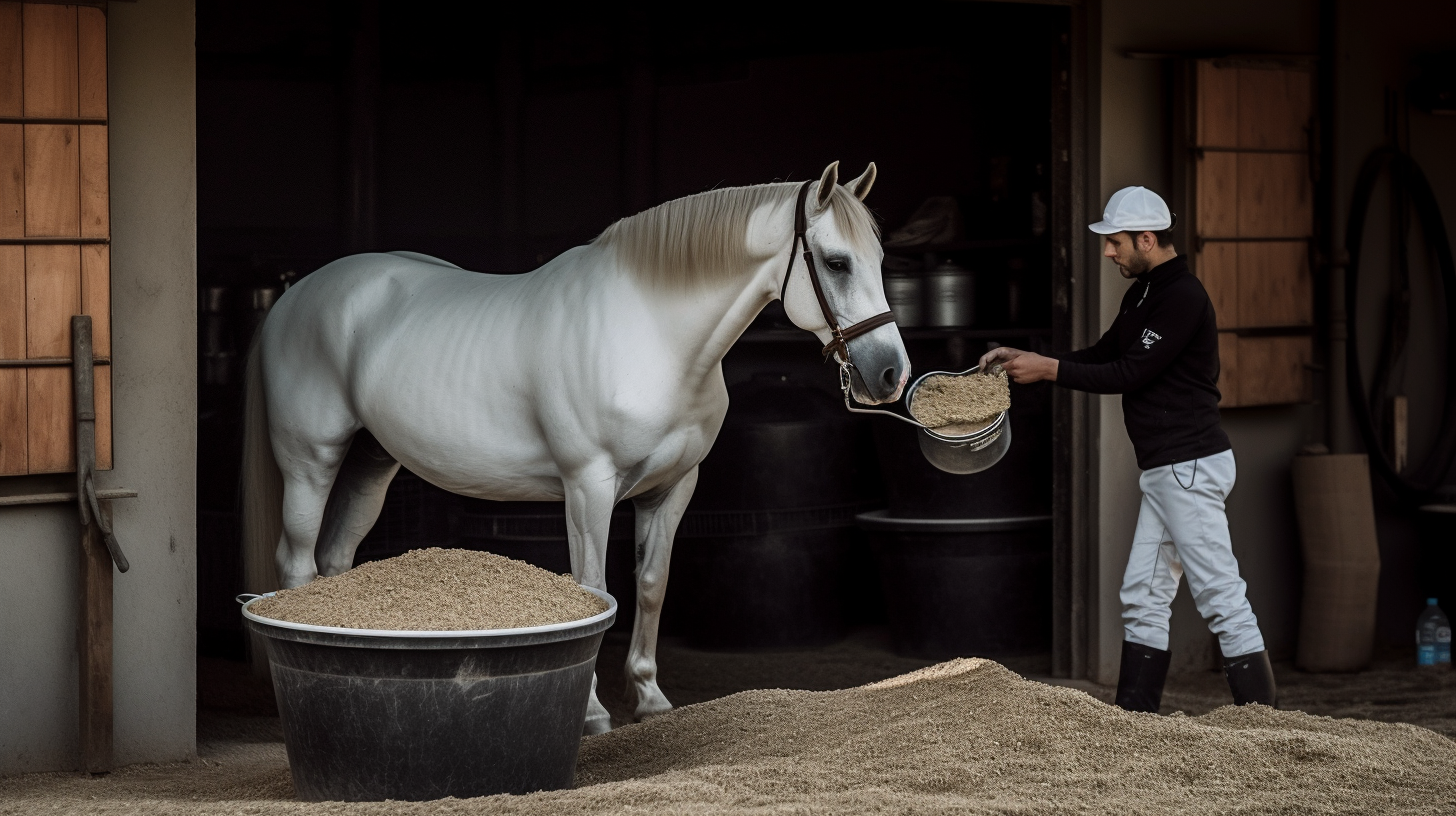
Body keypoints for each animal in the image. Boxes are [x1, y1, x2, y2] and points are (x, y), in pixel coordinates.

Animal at [243, 161, 902, 734]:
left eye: (878, 259)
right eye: (836, 262)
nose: (891, 372)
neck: (650, 334)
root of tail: (293, 298)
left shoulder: (674, 487)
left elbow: (651, 585)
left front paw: (650, 699)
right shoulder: (588, 485)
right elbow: (593, 592)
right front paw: (591, 715)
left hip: (372, 463)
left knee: (333, 561)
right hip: (311, 462)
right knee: (297, 562)